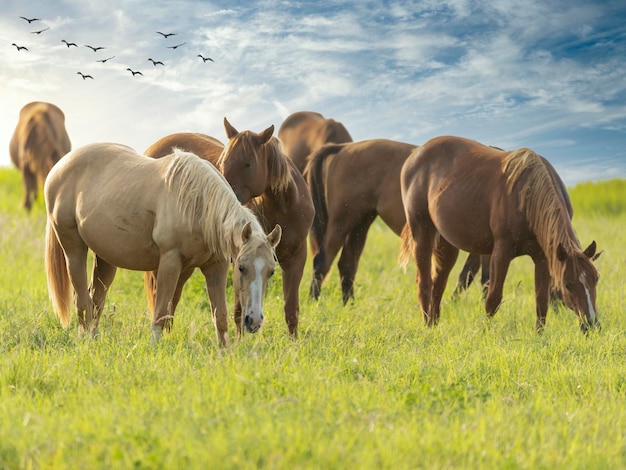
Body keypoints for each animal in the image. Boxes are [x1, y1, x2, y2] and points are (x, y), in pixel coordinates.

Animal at [43, 141, 278, 344]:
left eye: (271, 272)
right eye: (241, 267)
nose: (254, 321)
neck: (198, 204)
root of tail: (58, 168)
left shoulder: (215, 268)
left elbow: (219, 315)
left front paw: (224, 352)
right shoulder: (170, 262)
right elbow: (161, 312)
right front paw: (154, 347)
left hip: (106, 258)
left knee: (96, 300)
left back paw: (93, 339)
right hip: (73, 249)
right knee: (82, 300)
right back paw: (84, 340)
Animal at [144, 120, 314, 338]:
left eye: (247, 164)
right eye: (223, 163)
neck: (283, 205)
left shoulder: (296, 258)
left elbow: (291, 309)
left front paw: (294, 342)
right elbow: (239, 310)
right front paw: (240, 340)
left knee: (173, 297)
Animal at [400, 136, 600, 332]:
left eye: (596, 279)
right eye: (568, 284)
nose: (592, 325)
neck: (528, 196)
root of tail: (415, 154)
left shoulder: (542, 257)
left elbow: (541, 302)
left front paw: (540, 336)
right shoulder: (502, 252)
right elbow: (493, 299)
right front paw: (485, 333)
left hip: (446, 243)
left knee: (439, 283)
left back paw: (434, 325)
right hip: (422, 233)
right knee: (424, 283)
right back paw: (427, 326)